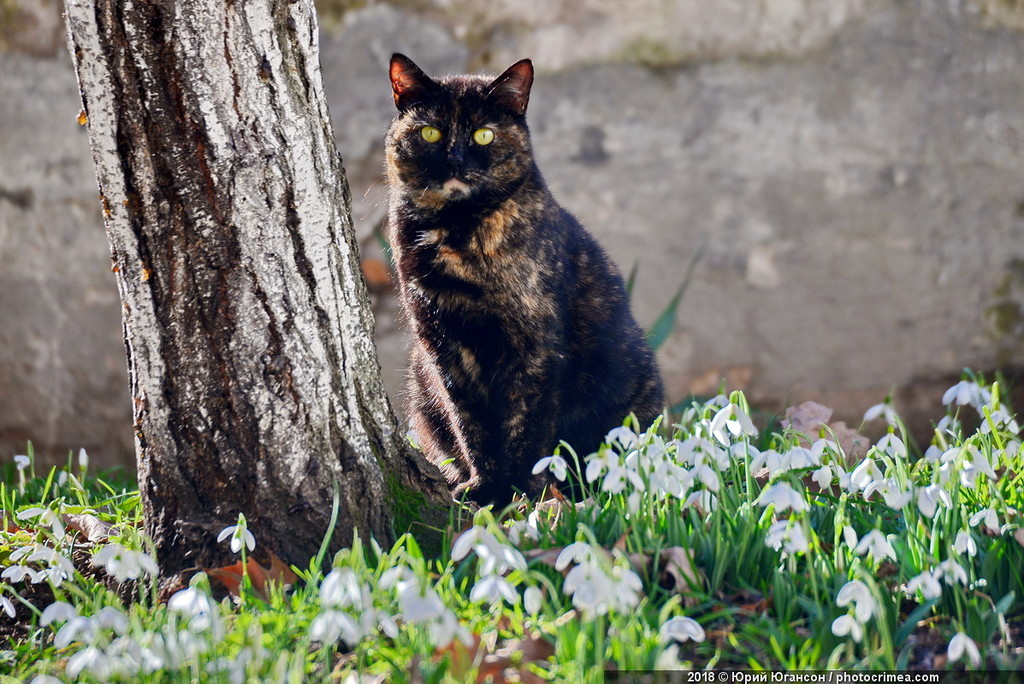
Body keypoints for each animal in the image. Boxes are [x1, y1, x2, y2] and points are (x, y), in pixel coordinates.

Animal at [385, 53, 663, 505]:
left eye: (483, 135)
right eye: (431, 132)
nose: (456, 161)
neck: (456, 232)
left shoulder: (535, 346)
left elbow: (525, 424)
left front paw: (523, 492)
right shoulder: (442, 346)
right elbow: (469, 421)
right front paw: (483, 488)